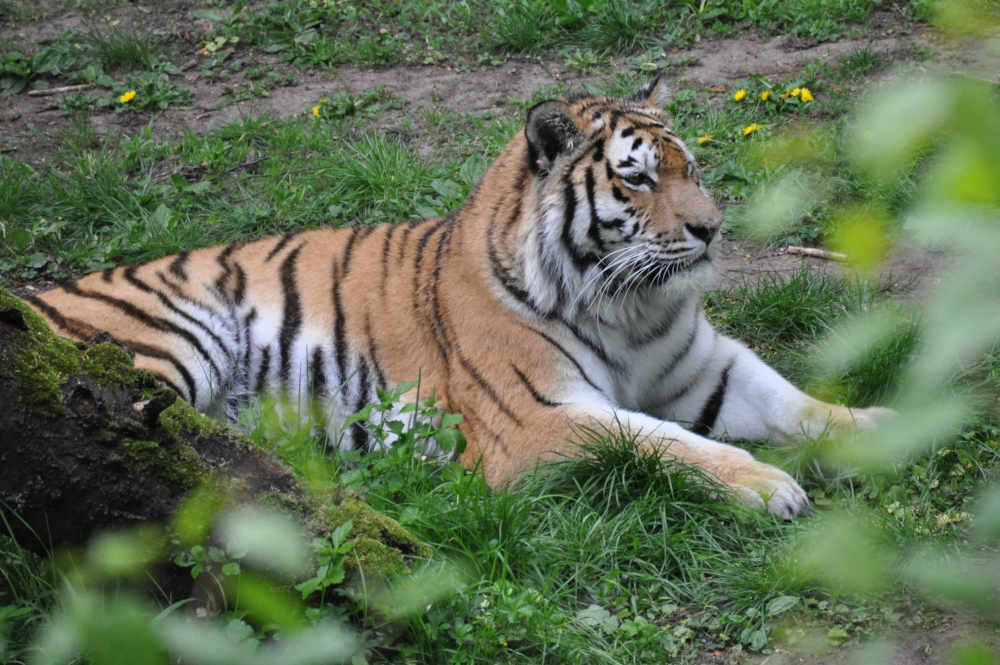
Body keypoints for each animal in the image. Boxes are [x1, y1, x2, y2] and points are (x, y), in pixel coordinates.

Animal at [27, 76, 896, 512]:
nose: (712, 230)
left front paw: (884, 427)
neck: (630, 305)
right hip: (172, 336)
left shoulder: (708, 369)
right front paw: (771, 486)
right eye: (639, 178)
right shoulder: (539, 419)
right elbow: (668, 442)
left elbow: (797, 403)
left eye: (693, 167)